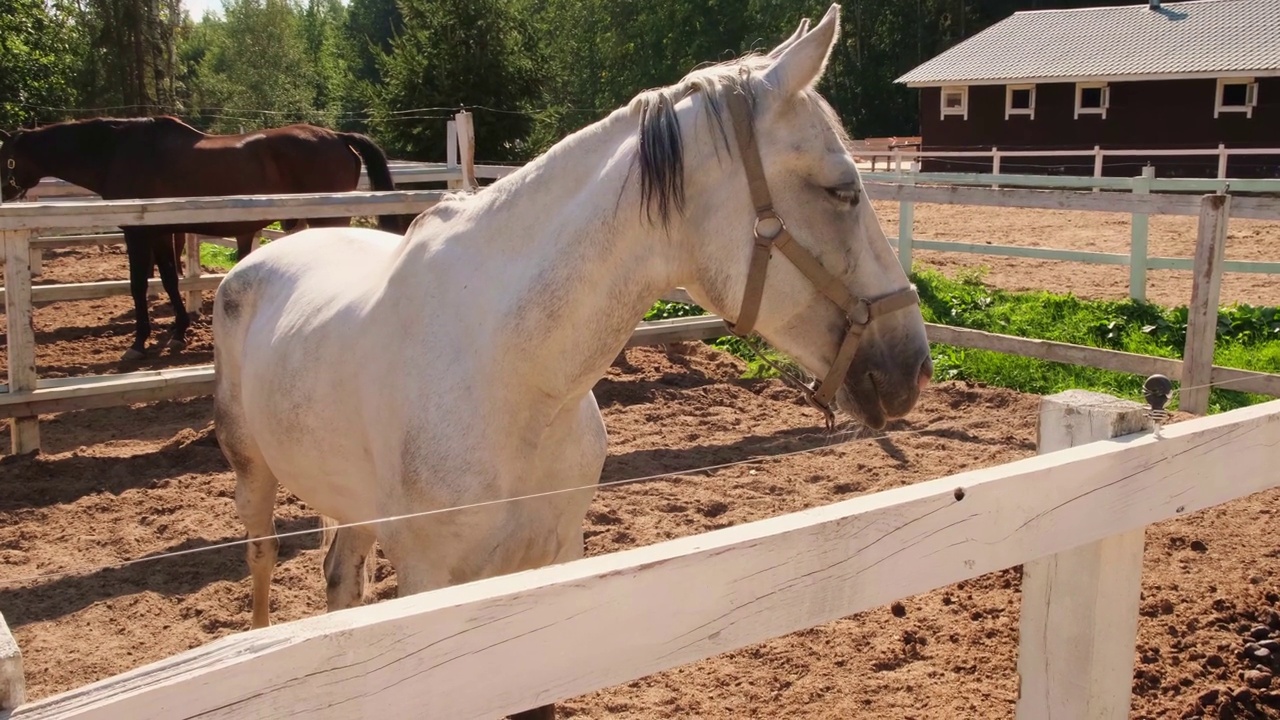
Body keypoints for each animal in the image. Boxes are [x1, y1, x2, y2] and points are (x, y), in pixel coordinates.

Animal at [0, 119, 399, 363]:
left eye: (6, 158)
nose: (5, 194)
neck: (119, 151)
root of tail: (338, 137)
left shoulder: (137, 233)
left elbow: (138, 284)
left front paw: (139, 343)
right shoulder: (162, 231)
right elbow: (169, 280)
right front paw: (177, 332)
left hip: (329, 220)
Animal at [209, 4, 931, 712]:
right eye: (842, 190)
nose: (914, 366)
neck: (511, 377)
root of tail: (257, 261)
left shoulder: (551, 558)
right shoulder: (428, 580)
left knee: (340, 581)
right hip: (253, 479)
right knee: (262, 563)